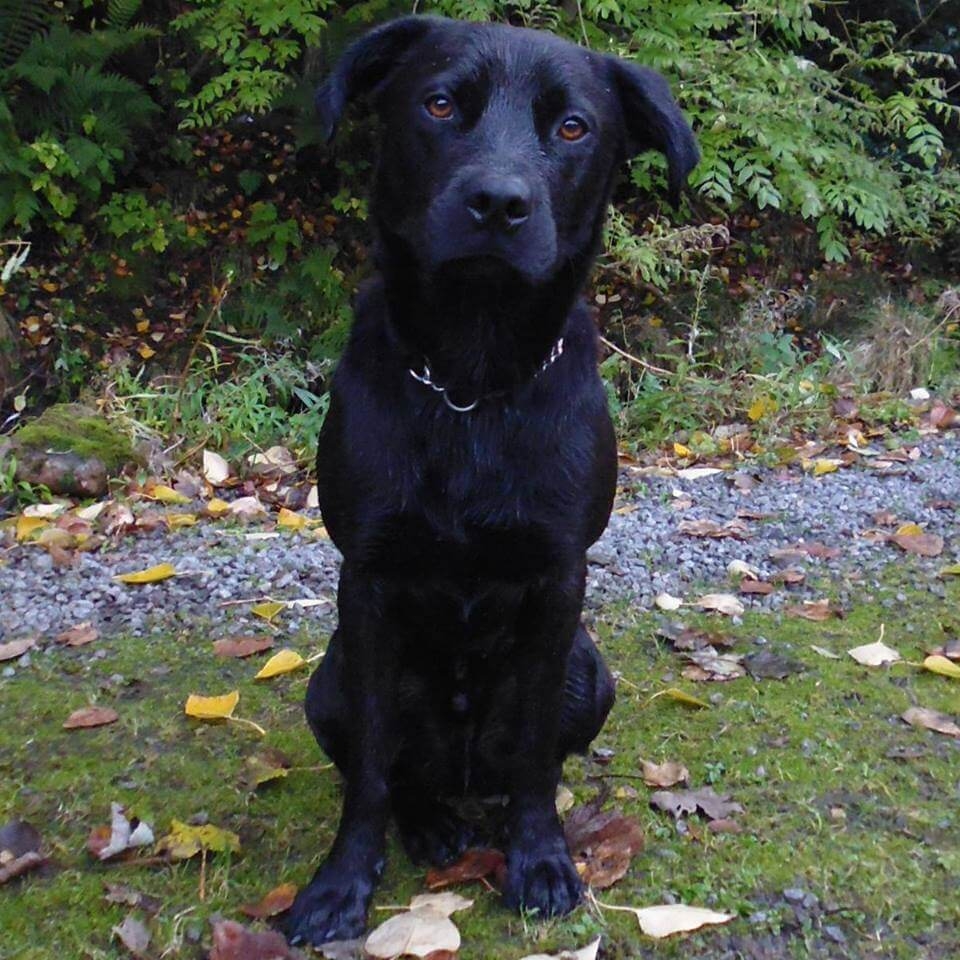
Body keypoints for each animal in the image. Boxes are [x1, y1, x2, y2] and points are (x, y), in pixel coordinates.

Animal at [286, 15, 696, 944]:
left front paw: (540, 860)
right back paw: (431, 824)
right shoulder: (366, 582)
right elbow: (371, 771)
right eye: (440, 104)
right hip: (327, 684)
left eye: (573, 127)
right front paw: (340, 885)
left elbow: (539, 756)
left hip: (591, 674)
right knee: (401, 774)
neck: (470, 381)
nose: (499, 204)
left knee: (516, 767)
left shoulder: (556, 580)